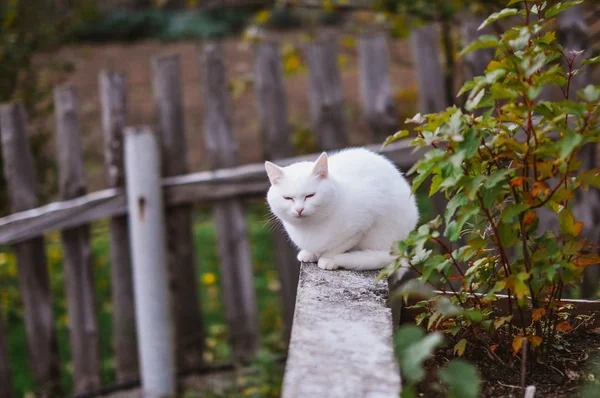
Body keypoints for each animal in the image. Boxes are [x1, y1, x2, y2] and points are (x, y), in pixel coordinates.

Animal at [264, 148, 420, 272]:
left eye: (310, 196)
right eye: (288, 198)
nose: (299, 209)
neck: (310, 228)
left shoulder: (363, 224)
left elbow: (338, 246)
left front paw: (327, 258)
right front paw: (310, 253)